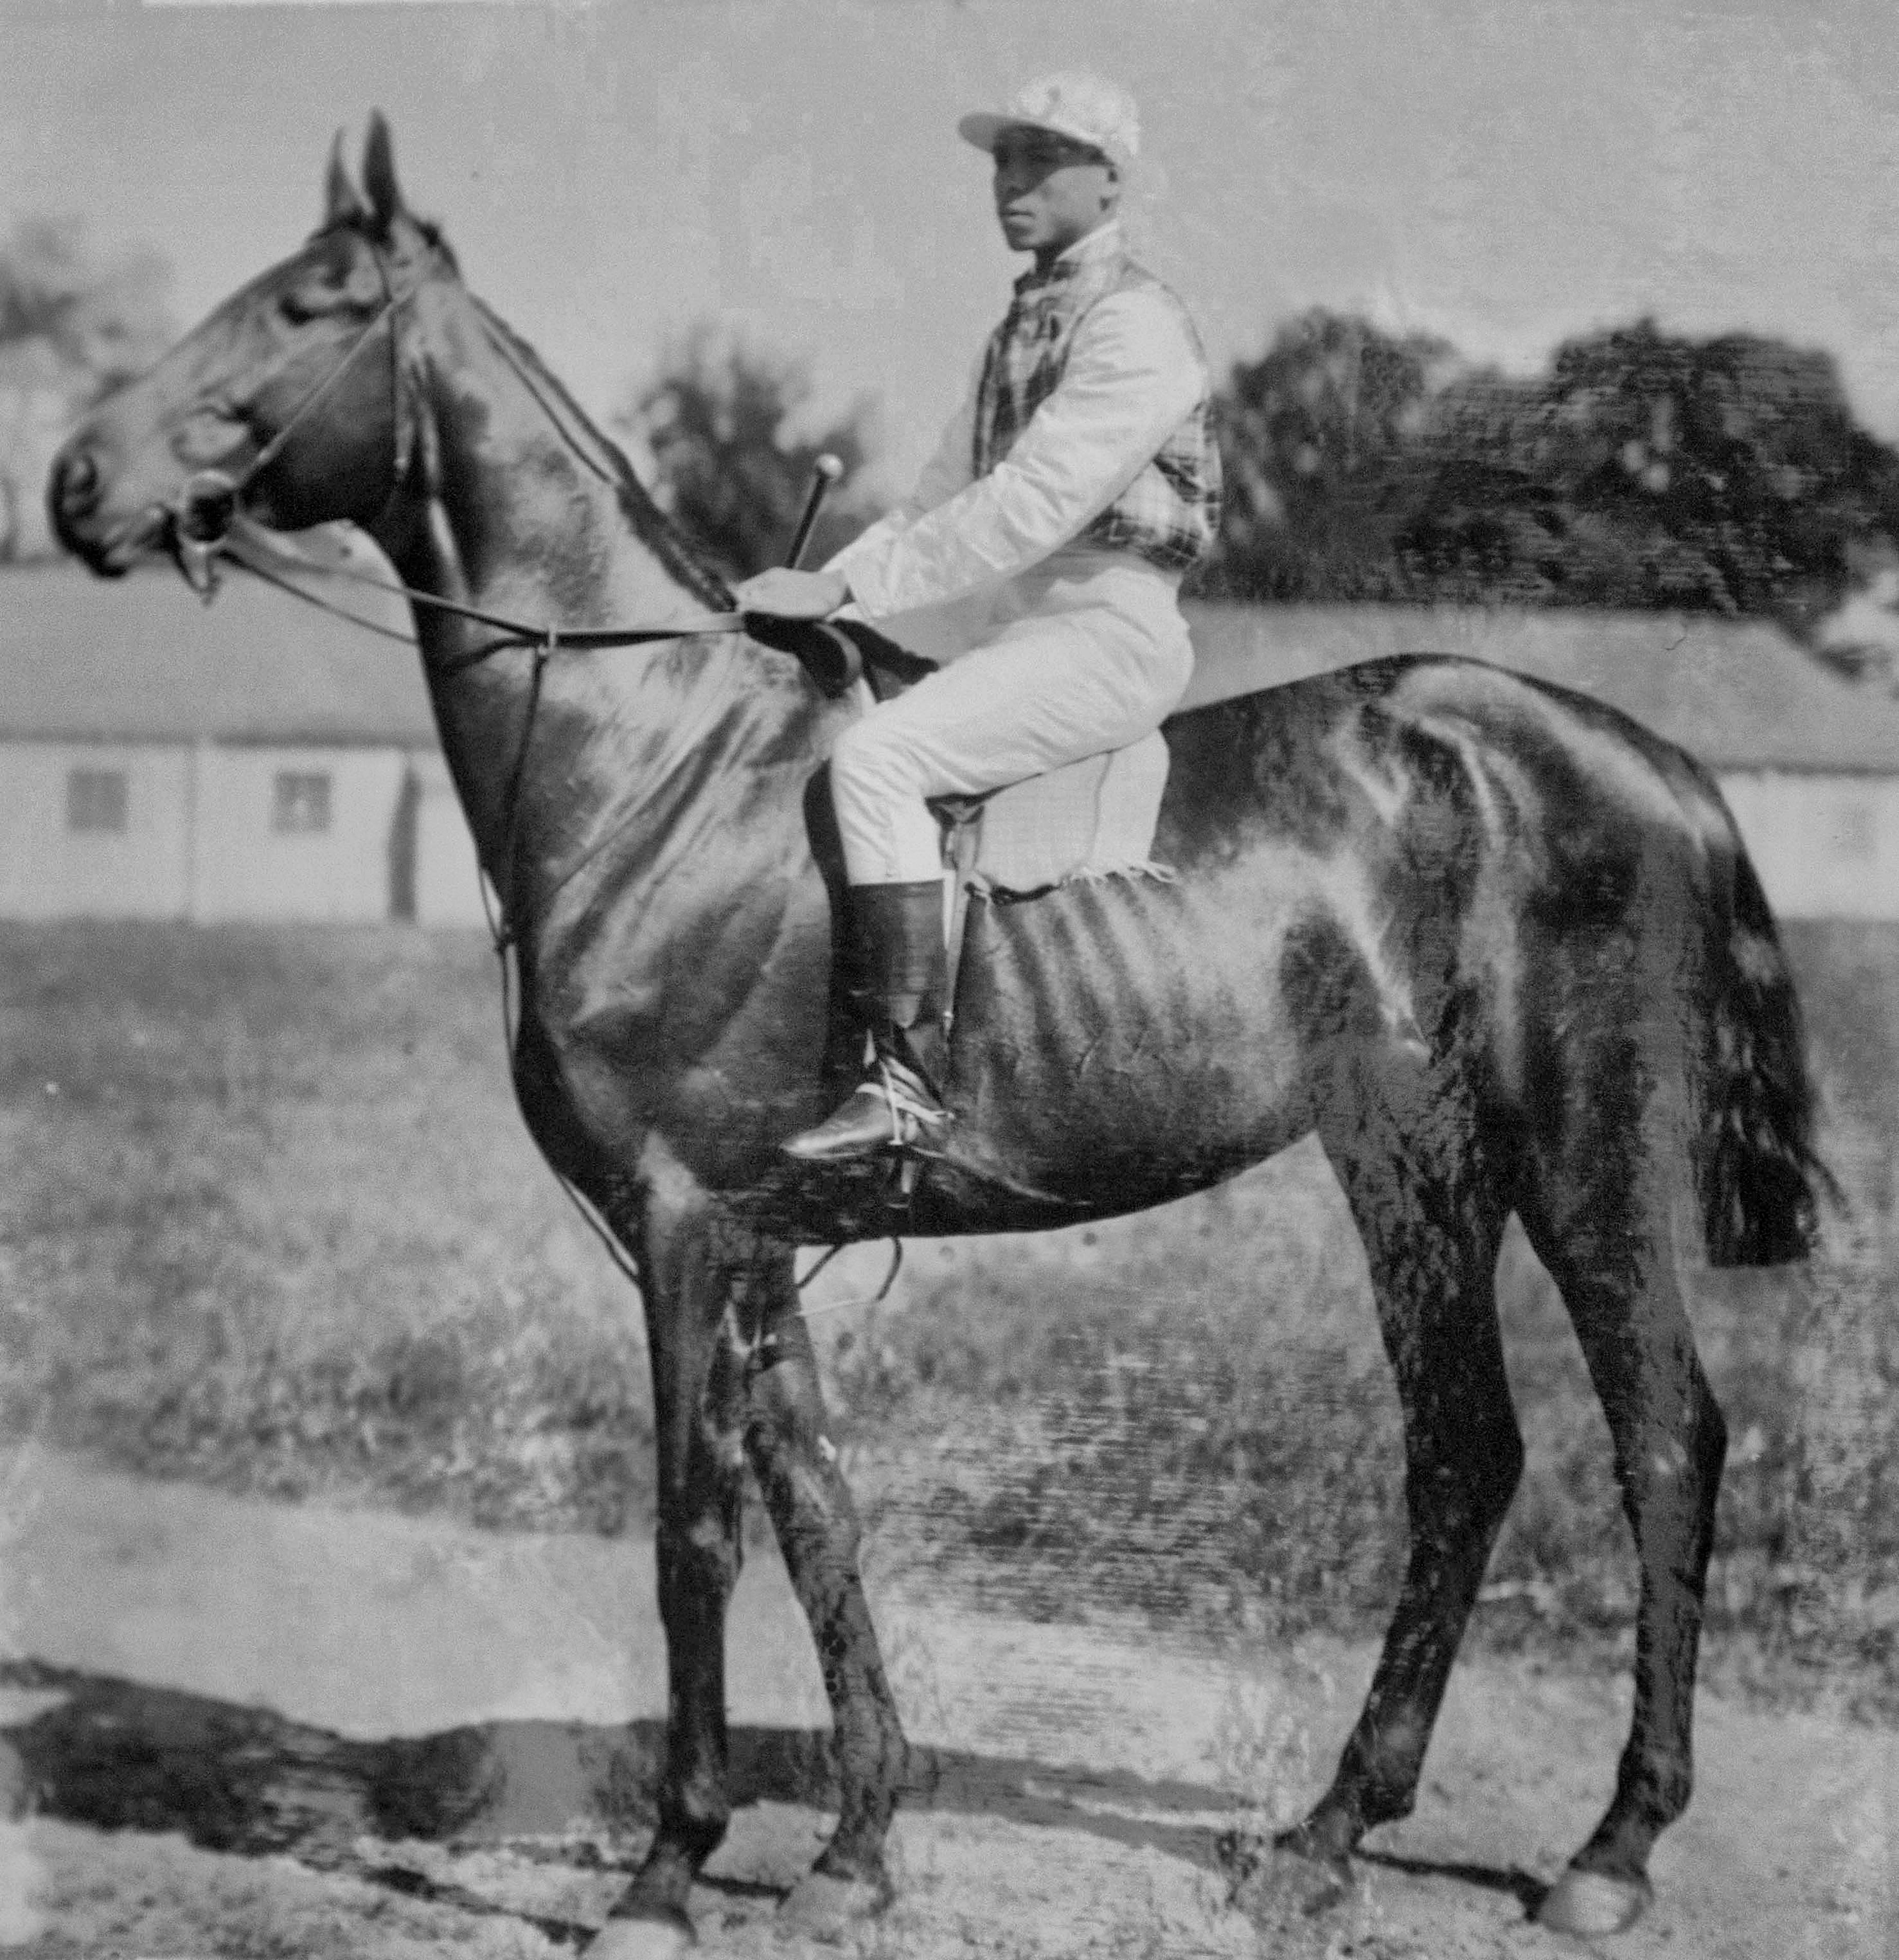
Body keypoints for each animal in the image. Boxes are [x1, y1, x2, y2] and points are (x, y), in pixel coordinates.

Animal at [48, 118, 1826, 1944]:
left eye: (310, 303)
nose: (76, 484)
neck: (656, 757)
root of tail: (1635, 753)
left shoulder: (682, 1228)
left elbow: (692, 1531)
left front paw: (670, 1863)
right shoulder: (755, 1241)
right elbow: (817, 1510)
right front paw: (853, 1842)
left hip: (1573, 1156)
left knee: (1660, 1437)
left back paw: (1610, 1846)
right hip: (1412, 1163)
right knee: (1467, 1450)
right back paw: (1330, 1827)